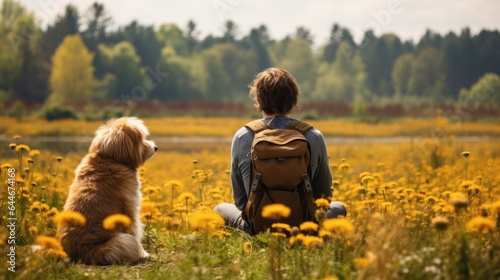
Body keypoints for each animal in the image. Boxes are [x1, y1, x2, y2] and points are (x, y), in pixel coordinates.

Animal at [56, 116, 156, 264]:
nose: (155, 147)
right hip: (122, 241)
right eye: (142, 139)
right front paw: (145, 254)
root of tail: (82, 254)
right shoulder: (130, 210)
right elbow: (135, 232)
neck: (109, 158)